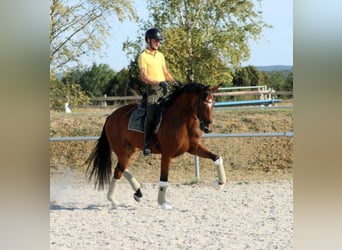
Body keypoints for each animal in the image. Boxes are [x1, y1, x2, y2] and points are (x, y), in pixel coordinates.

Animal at [86, 82, 227, 209]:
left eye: (213, 103)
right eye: (201, 103)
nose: (207, 127)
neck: (182, 120)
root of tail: (111, 116)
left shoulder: (194, 148)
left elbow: (216, 157)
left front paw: (219, 183)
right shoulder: (167, 155)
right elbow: (164, 179)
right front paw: (162, 202)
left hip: (130, 150)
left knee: (121, 168)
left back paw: (136, 193)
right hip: (123, 151)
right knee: (118, 170)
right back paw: (113, 200)